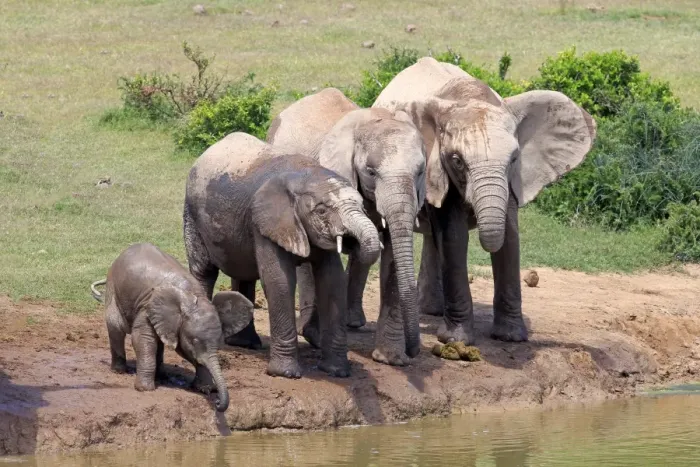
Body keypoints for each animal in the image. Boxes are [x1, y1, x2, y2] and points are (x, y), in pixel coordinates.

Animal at [90, 242, 254, 412]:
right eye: (194, 342)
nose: (216, 402)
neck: (190, 296)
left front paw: (205, 389)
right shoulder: (147, 308)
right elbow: (143, 340)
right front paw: (145, 389)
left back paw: (161, 376)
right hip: (113, 290)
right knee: (115, 327)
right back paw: (120, 371)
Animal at [183, 132, 381, 379]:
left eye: (363, 207)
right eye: (322, 211)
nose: (351, 242)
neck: (305, 175)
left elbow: (332, 282)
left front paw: (337, 372)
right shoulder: (266, 222)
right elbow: (279, 282)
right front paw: (285, 374)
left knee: (244, 273)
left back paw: (246, 344)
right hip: (192, 212)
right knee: (204, 270)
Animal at [267, 88, 426, 366]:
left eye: (420, 172)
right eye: (371, 172)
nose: (414, 351)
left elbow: (393, 258)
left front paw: (392, 359)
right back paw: (312, 335)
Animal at [373, 57, 596, 345]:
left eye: (514, 158)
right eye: (457, 160)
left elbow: (510, 235)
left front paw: (510, 337)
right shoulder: (440, 169)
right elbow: (454, 236)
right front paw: (456, 340)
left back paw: (431, 311)